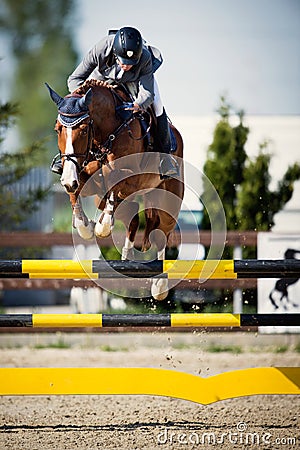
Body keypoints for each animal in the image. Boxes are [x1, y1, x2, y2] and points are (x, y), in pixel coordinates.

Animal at [47, 79, 184, 300]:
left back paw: (160, 286)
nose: (68, 179)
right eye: (58, 129)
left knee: (162, 231)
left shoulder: (131, 178)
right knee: (133, 218)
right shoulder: (81, 177)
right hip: (108, 200)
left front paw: (101, 227)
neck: (107, 134)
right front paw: (86, 226)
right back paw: (126, 258)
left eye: (83, 130)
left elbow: (114, 178)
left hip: (169, 200)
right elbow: (75, 191)